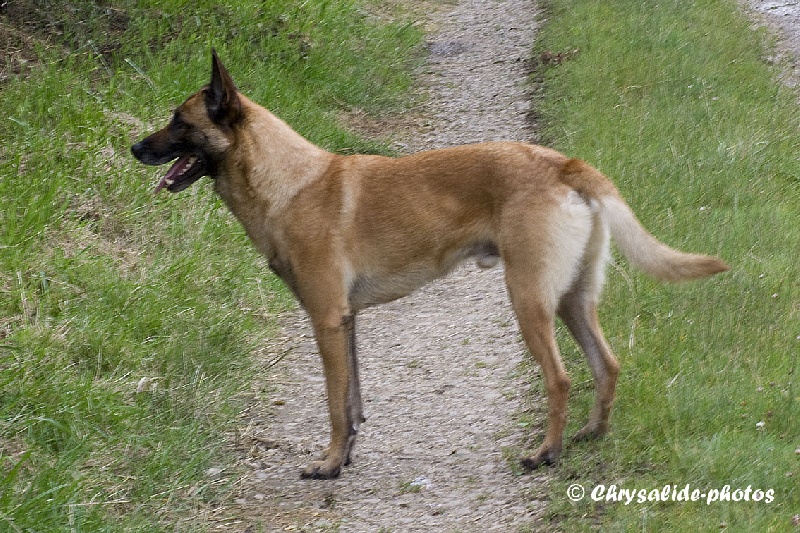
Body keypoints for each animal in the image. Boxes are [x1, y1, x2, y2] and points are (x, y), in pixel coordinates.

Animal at [131, 51, 728, 479]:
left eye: (178, 121)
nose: (135, 147)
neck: (291, 183)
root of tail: (564, 164)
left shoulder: (326, 321)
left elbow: (334, 404)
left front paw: (328, 463)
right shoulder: (346, 322)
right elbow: (353, 402)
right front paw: (344, 459)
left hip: (530, 300)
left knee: (560, 379)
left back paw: (546, 453)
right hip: (571, 300)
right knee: (607, 366)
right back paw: (590, 436)